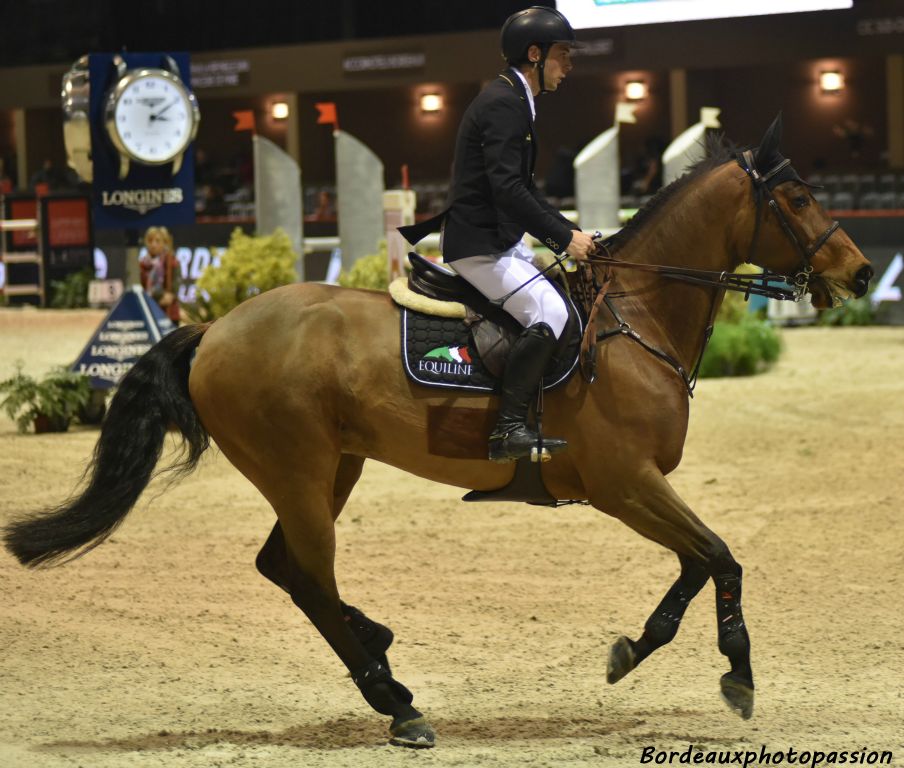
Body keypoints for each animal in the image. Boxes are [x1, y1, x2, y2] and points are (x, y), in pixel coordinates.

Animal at [3, 117, 872, 748]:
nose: (862, 274)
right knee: (310, 580)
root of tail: (214, 330)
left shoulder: (636, 489)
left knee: (285, 568)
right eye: (797, 200)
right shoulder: (625, 485)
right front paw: (739, 675)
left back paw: (383, 652)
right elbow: (720, 556)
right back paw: (396, 701)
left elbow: (698, 565)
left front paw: (633, 651)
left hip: (332, 469)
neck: (637, 316)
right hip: (299, 471)